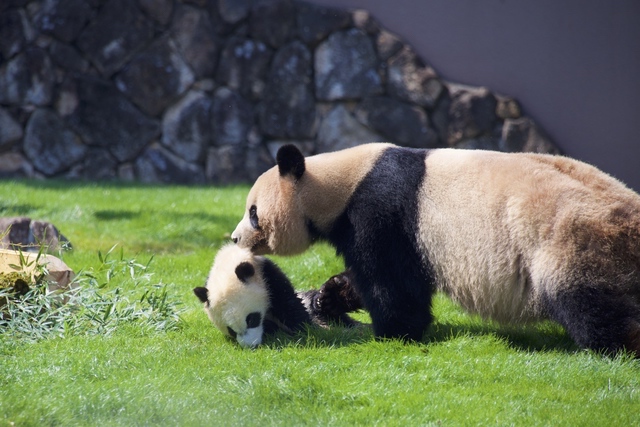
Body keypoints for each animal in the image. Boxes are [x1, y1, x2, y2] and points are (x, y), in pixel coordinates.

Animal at [232, 144, 640, 358]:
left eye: (253, 212)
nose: (235, 240)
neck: (340, 180)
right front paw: (327, 297)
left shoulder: (381, 211)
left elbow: (391, 282)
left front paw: (392, 333)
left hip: (572, 240)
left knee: (588, 304)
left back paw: (623, 345)